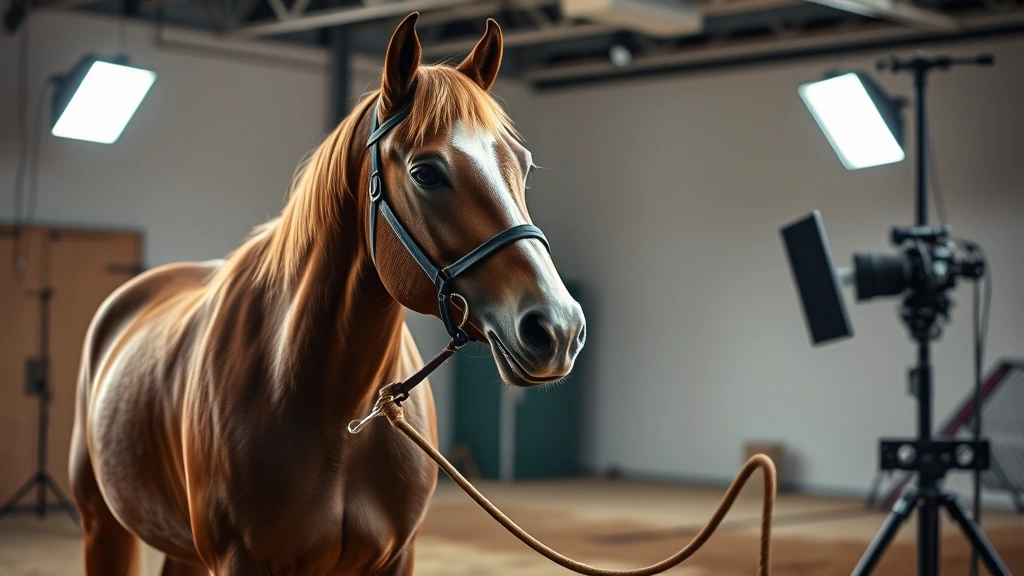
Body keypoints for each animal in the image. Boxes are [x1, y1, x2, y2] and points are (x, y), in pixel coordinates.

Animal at [69, 13, 586, 575]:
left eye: (524, 164)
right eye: (426, 172)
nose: (559, 328)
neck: (336, 409)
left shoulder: (396, 557)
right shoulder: (238, 559)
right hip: (104, 526)